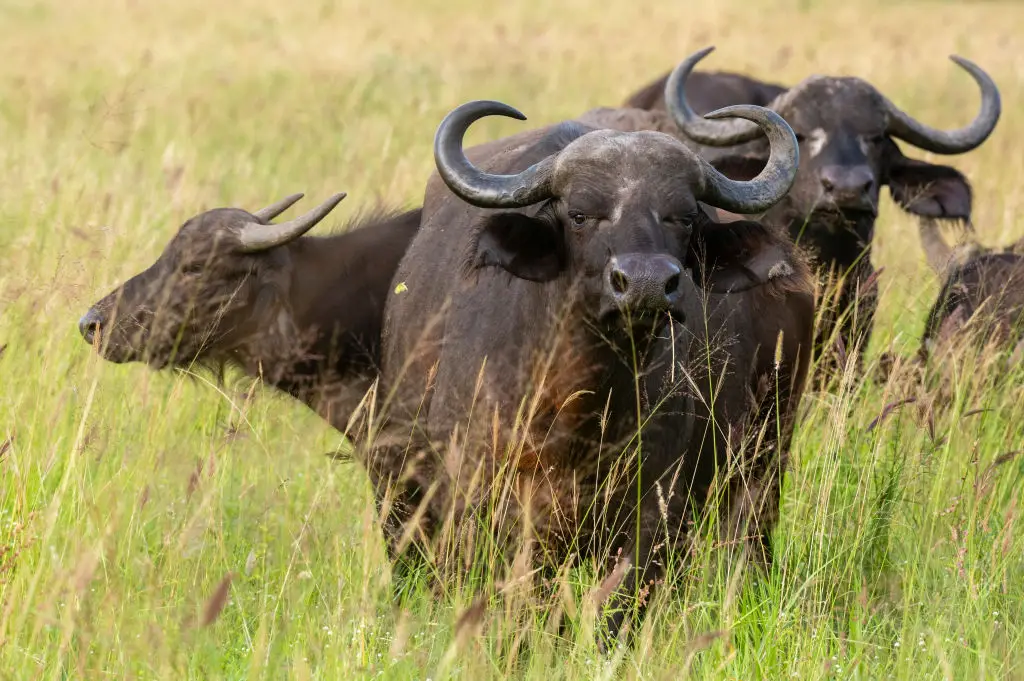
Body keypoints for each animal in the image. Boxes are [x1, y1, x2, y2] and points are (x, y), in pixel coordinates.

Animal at [369, 58, 814, 644]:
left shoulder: (659, 510)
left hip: (766, 458)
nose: (645, 284)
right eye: (579, 214)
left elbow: (618, 609)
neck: (584, 406)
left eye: (683, 216)